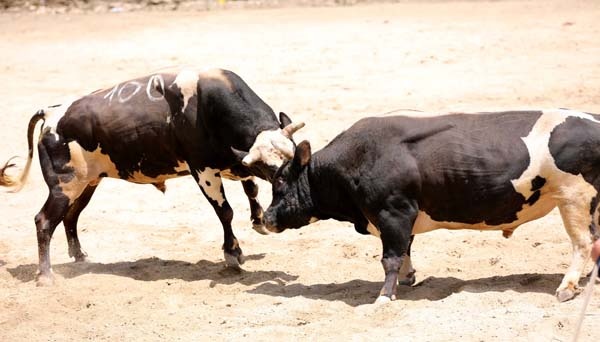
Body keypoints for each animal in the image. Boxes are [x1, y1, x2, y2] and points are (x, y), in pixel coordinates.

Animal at [1, 68, 304, 284]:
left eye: (293, 154)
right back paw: (46, 276)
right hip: (63, 186)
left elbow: (250, 189)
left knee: (71, 216)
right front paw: (232, 253)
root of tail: (51, 113)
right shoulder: (203, 170)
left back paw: (80, 256)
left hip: (87, 183)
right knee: (44, 221)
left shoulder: (234, 162)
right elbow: (225, 211)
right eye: (270, 169)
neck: (205, 106)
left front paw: (258, 220)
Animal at [264, 109, 600, 302]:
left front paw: (384, 296)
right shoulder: (403, 216)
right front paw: (407, 278)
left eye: (280, 181)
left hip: (575, 198)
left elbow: (390, 258)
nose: (264, 219)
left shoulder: (393, 213)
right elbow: (405, 250)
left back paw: (568, 286)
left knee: (583, 243)